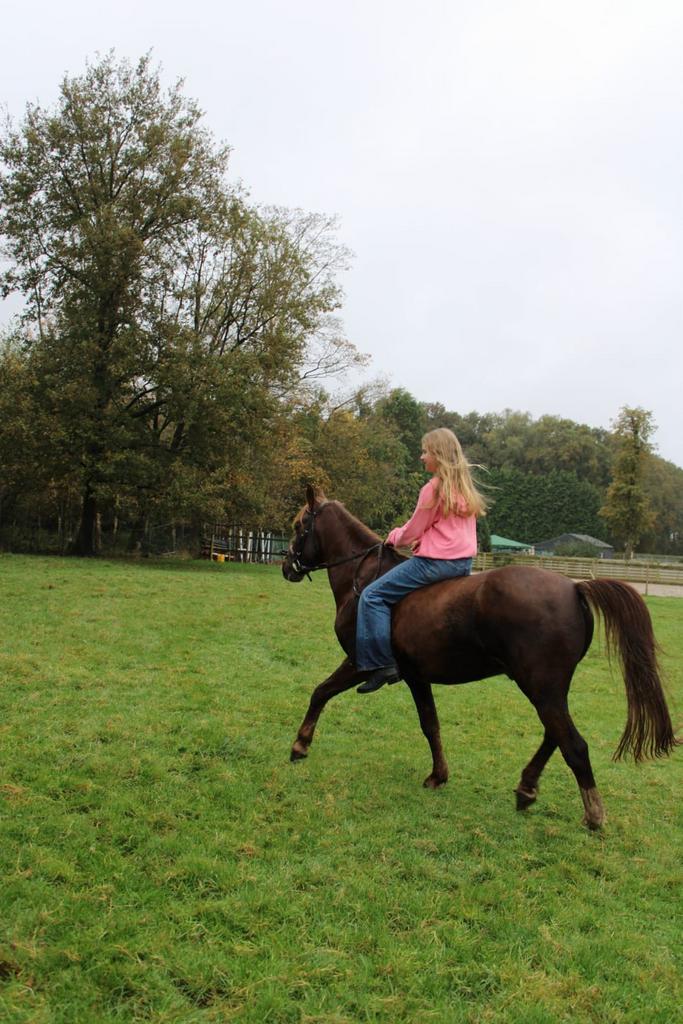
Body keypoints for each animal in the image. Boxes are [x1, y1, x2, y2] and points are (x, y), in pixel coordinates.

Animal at [281, 486, 678, 829]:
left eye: (300, 526)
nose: (287, 567)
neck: (362, 580)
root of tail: (574, 587)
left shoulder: (360, 664)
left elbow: (320, 692)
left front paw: (300, 745)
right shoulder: (416, 676)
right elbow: (431, 724)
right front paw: (438, 775)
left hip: (541, 688)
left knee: (573, 744)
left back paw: (593, 815)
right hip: (548, 690)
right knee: (556, 734)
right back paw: (527, 788)